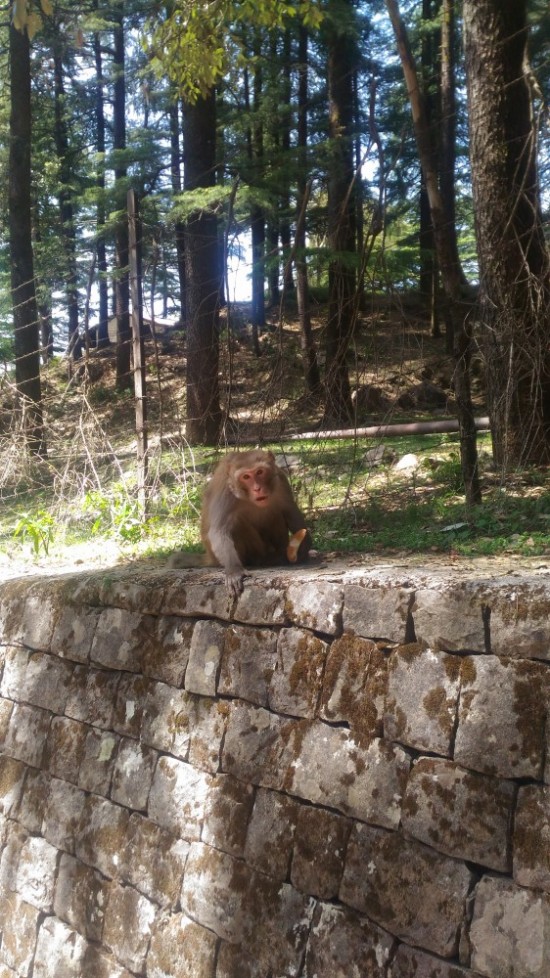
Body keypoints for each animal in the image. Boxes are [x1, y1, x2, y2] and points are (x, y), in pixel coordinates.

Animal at [168, 449, 311, 598]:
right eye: (246, 477)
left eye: (260, 472)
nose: (257, 488)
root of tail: (211, 557)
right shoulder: (225, 491)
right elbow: (219, 530)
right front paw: (234, 570)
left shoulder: (280, 479)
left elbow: (290, 510)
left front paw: (304, 545)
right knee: (237, 523)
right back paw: (261, 560)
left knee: (276, 513)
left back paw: (279, 554)